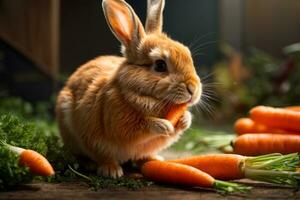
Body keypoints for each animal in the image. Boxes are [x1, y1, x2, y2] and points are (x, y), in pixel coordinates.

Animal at [55, 0, 202, 178]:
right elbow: (139, 126)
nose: (193, 89)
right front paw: (164, 126)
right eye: (160, 65)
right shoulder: (118, 120)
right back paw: (109, 170)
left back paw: (153, 160)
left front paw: (185, 119)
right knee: (95, 156)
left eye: (188, 54)